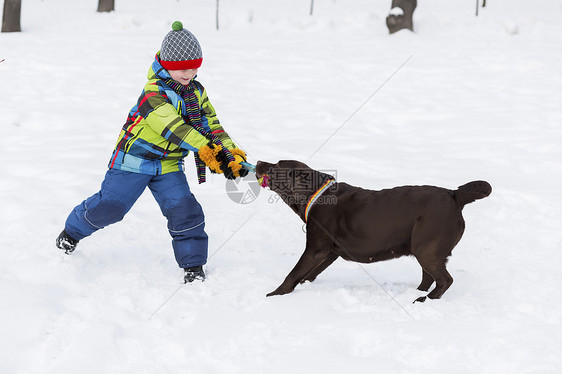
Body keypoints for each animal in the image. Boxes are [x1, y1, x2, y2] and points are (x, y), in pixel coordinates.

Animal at [255, 159, 490, 302]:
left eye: (277, 165)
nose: (258, 162)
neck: (316, 195)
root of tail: (454, 195)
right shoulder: (329, 252)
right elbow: (309, 273)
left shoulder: (316, 248)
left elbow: (293, 273)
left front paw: (274, 294)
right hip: (423, 248)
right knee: (429, 278)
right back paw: (417, 294)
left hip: (427, 248)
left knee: (444, 280)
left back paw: (425, 299)